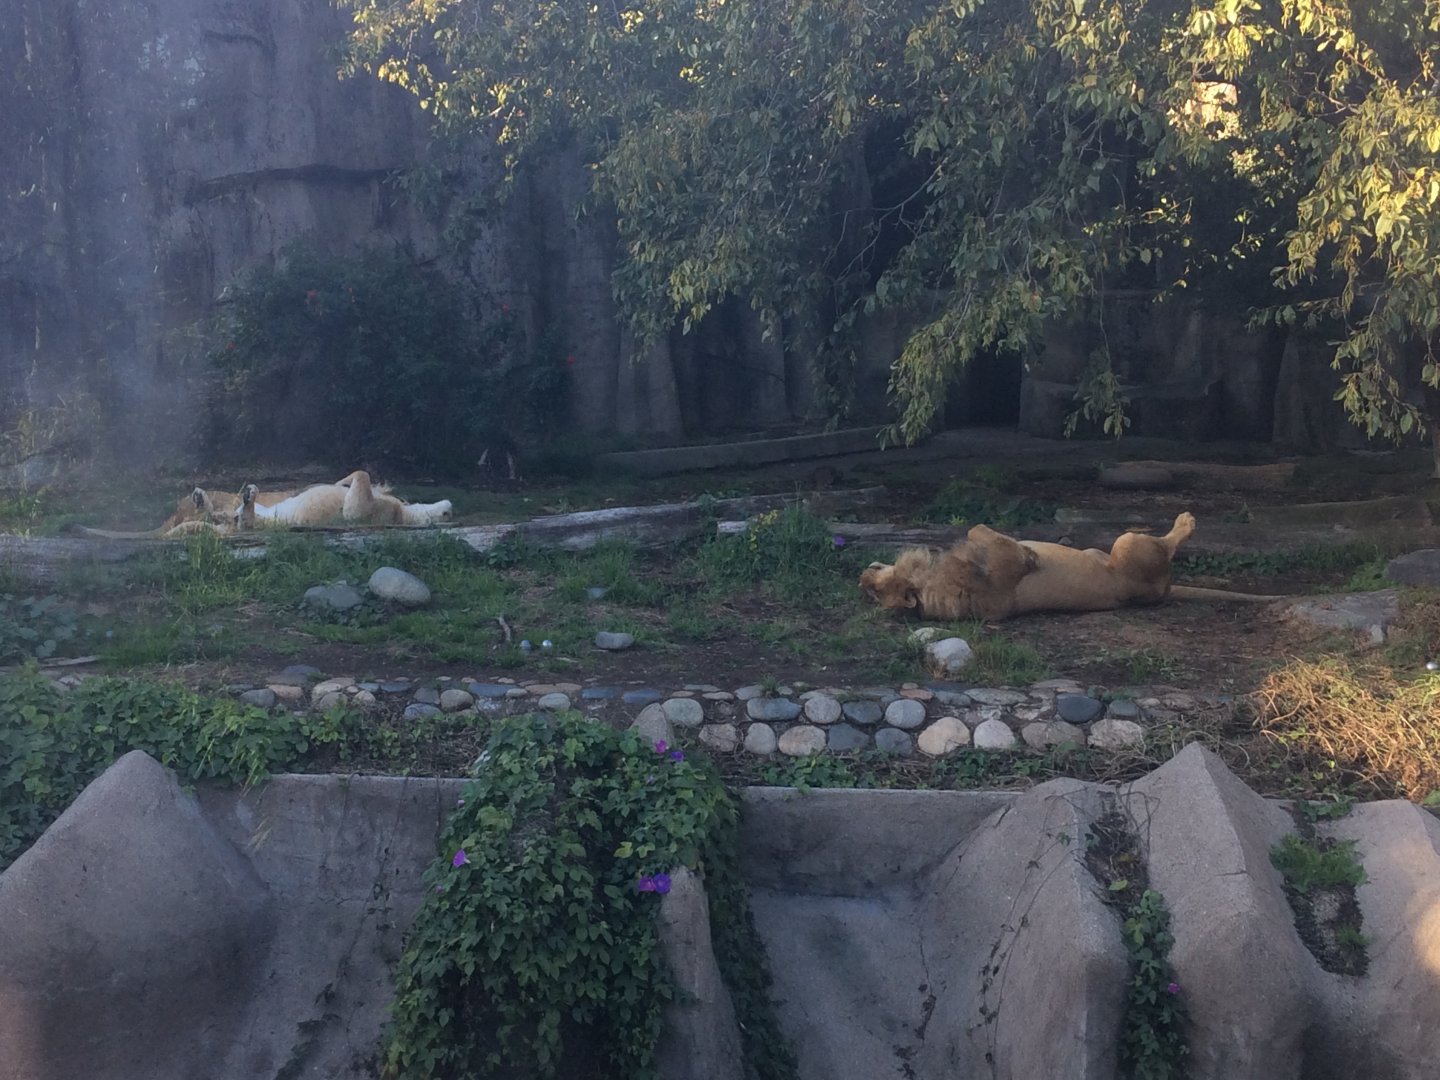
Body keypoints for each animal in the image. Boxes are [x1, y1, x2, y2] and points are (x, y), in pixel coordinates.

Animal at [859, 511, 1278, 620]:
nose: (861, 575)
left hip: (1102, 549)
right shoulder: (1006, 562)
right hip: (1128, 543)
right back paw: (1185, 521)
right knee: (1166, 544)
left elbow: (974, 529)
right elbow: (985, 533)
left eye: (871, 589)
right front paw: (1029, 552)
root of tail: (1165, 591)